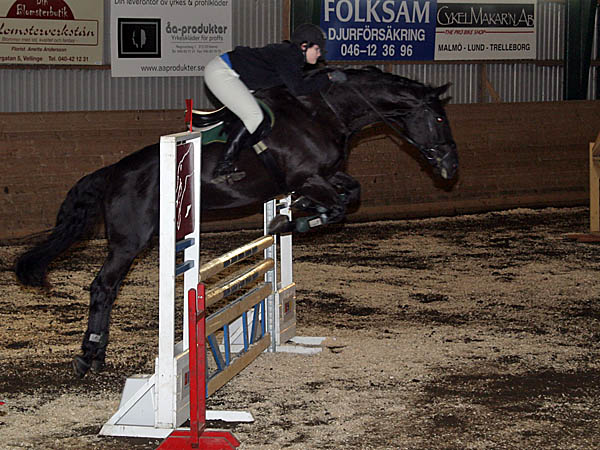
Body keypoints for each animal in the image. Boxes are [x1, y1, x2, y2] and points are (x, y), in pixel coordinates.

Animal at [15, 66, 459, 378]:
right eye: (438, 119)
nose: (452, 168)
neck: (324, 113)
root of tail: (114, 172)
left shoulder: (324, 176)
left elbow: (351, 194)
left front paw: (293, 213)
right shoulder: (308, 176)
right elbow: (335, 206)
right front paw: (290, 222)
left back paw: (95, 354)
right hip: (130, 240)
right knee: (103, 287)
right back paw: (89, 355)